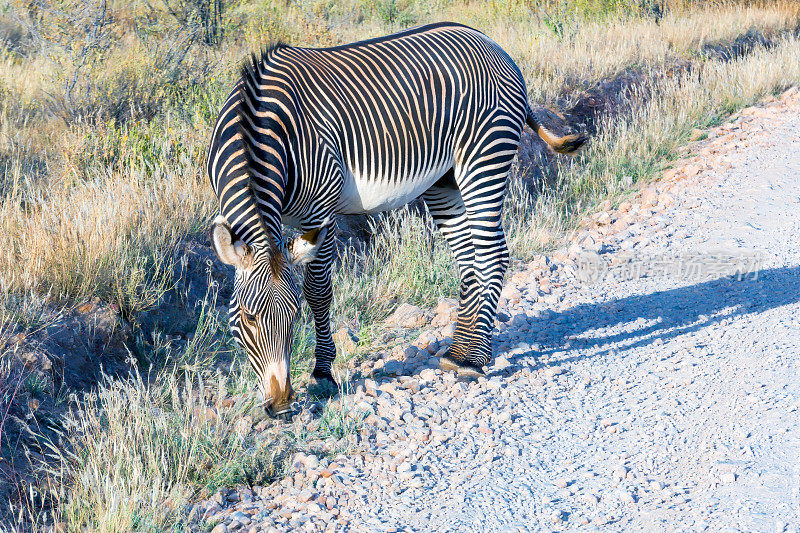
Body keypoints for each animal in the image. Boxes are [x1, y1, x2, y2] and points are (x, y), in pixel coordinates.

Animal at [205, 21, 580, 416]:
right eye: (247, 317)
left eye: (294, 316)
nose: (281, 405)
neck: (257, 129)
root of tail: (491, 43)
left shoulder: (321, 210)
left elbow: (319, 291)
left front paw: (322, 374)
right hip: (443, 179)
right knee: (468, 258)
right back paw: (457, 351)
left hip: (484, 158)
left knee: (493, 255)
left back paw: (473, 360)